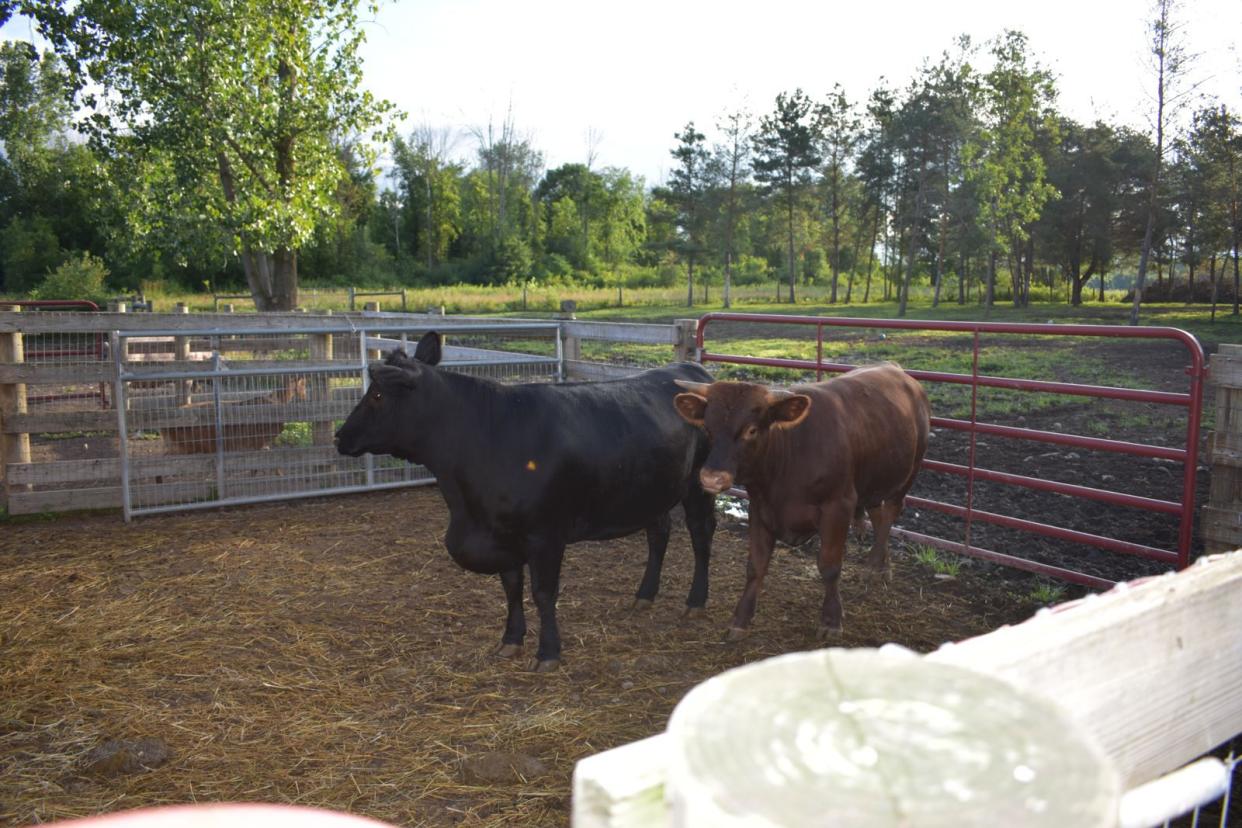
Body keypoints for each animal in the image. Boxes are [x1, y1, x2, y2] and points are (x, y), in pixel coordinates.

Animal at [332, 332, 720, 675]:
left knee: (701, 535)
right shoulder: (502, 536)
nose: (339, 436)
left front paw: (548, 652)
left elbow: (543, 593)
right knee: (659, 533)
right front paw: (511, 640)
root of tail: (692, 369)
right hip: (651, 489)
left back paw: (696, 601)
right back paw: (644, 595)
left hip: (698, 485)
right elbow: (512, 588)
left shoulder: (545, 536)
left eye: (377, 395)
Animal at [675, 364, 929, 645]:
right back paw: (883, 566)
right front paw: (740, 620)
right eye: (708, 429)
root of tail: (895, 369)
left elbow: (829, 567)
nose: (711, 477)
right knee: (878, 514)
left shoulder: (838, 506)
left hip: (909, 472)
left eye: (752, 430)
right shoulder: (760, 508)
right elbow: (756, 566)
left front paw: (831, 620)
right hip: (874, 481)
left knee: (891, 512)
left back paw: (873, 566)